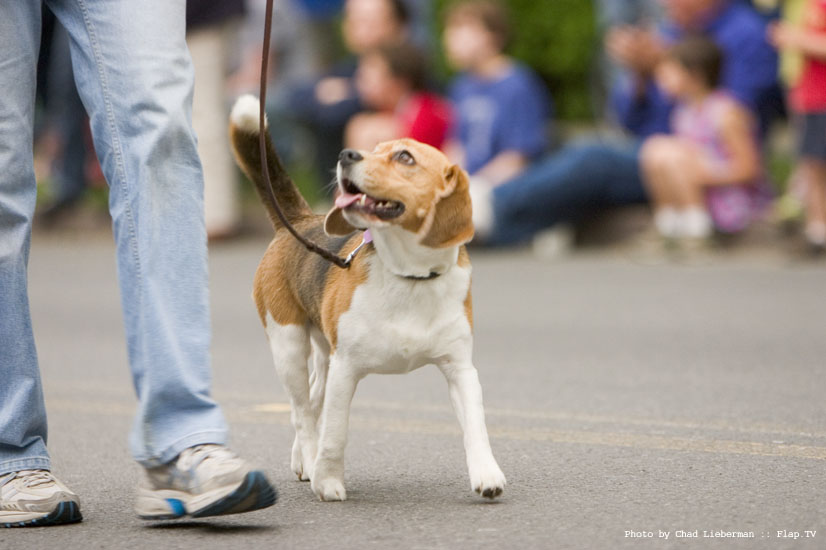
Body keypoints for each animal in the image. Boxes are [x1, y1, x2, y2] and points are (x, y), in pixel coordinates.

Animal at [229, 96, 506, 504]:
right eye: (374, 148)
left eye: (405, 157)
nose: (346, 154)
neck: (410, 277)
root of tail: (298, 220)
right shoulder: (346, 368)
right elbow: (335, 433)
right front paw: (328, 481)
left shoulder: (460, 368)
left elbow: (476, 425)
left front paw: (487, 475)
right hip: (288, 344)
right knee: (302, 413)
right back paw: (310, 460)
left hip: (323, 353)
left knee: (313, 400)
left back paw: (302, 461)